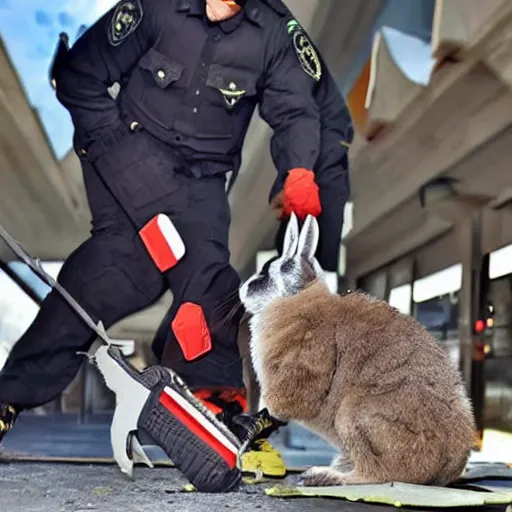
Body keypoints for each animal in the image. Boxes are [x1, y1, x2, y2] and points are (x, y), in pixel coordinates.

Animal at [239, 213, 476, 488]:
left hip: (352, 414)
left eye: (265, 275)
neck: (296, 299)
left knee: (377, 473)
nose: (242, 289)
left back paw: (324, 476)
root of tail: (447, 465)